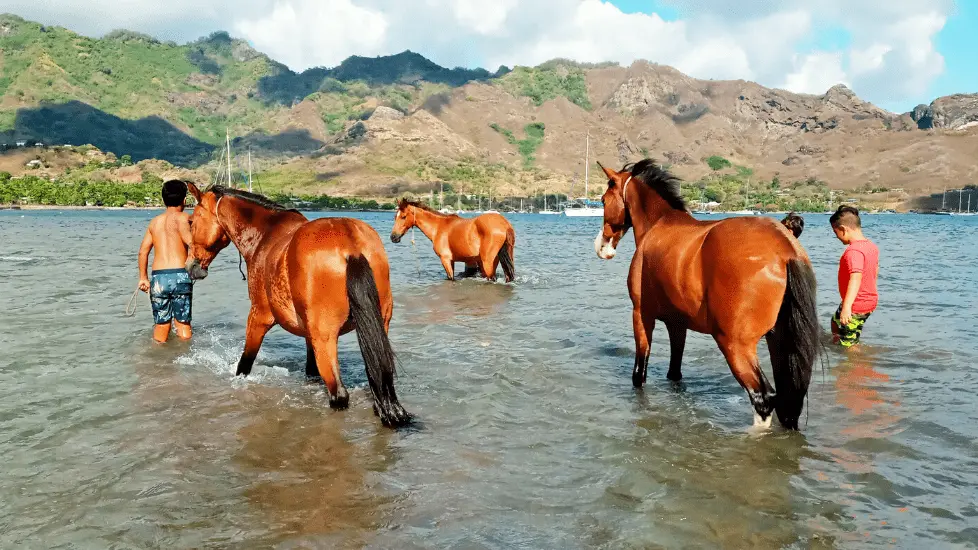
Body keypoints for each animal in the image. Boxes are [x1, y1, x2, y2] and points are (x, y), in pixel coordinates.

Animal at [185, 183, 410, 430]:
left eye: (192, 222)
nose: (191, 266)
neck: (264, 235)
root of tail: (351, 245)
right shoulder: (309, 335)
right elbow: (310, 371)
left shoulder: (258, 317)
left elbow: (244, 364)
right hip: (377, 329)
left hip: (325, 339)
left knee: (339, 394)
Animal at [386, 199, 516, 284]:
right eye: (394, 217)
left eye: (403, 216)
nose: (393, 237)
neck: (438, 227)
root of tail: (504, 225)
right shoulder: (452, 261)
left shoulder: (446, 259)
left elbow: (451, 278)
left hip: (487, 264)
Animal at [592, 160, 820, 432]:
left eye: (603, 200)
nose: (602, 246)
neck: (659, 225)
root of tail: (785, 248)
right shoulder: (677, 324)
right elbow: (675, 372)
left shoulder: (641, 315)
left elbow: (640, 371)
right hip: (779, 342)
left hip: (735, 345)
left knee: (763, 398)